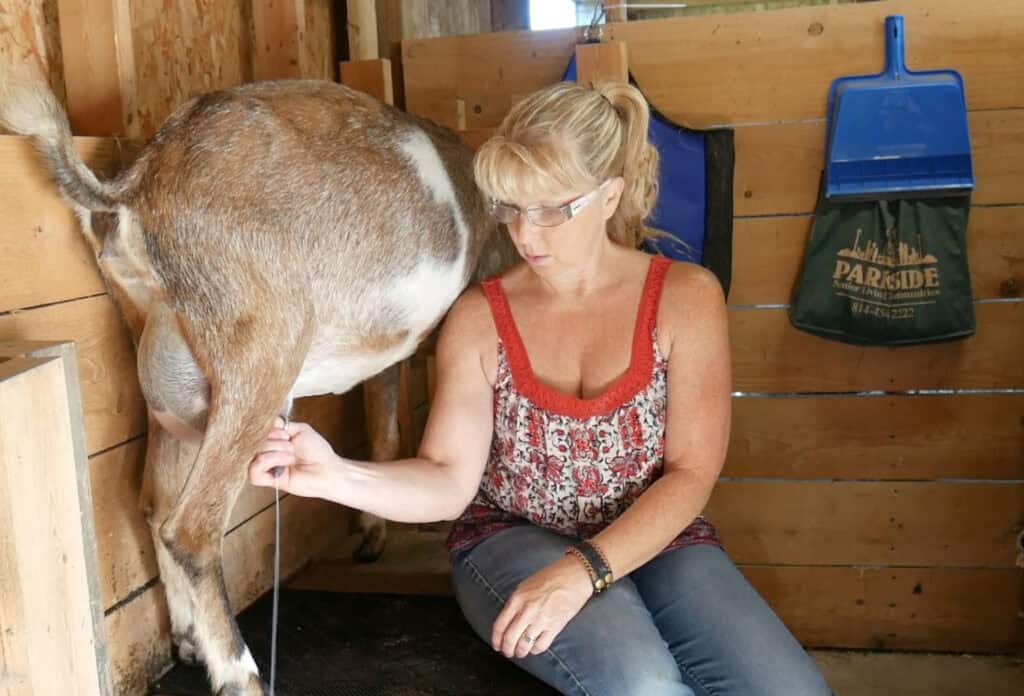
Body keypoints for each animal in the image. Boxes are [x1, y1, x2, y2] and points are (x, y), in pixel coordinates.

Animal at [0, 78, 516, 695]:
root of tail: (137, 186)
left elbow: (385, 426)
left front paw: (373, 534)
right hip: (263, 349)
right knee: (189, 527)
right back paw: (239, 672)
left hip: (163, 368)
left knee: (152, 501)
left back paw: (188, 639)